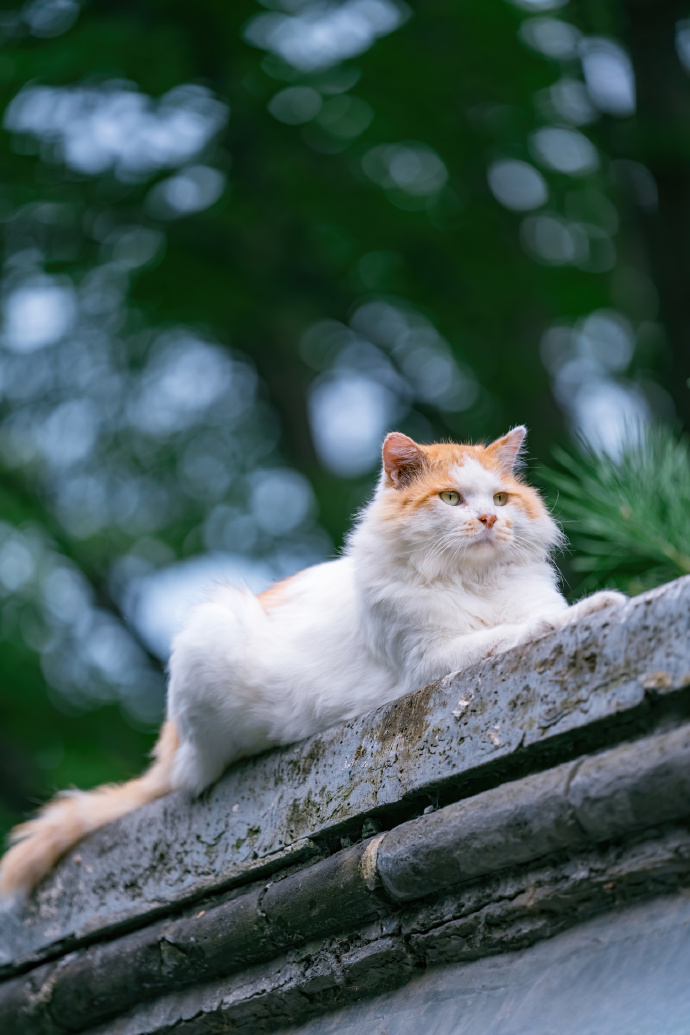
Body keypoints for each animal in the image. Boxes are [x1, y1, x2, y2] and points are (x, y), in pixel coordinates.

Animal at [1, 426, 624, 898]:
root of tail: (169, 745)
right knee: (193, 774)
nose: (490, 522)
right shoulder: (429, 662)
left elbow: (536, 616)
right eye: (451, 500)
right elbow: (522, 629)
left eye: (499, 500)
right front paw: (594, 609)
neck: (473, 584)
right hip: (213, 631)